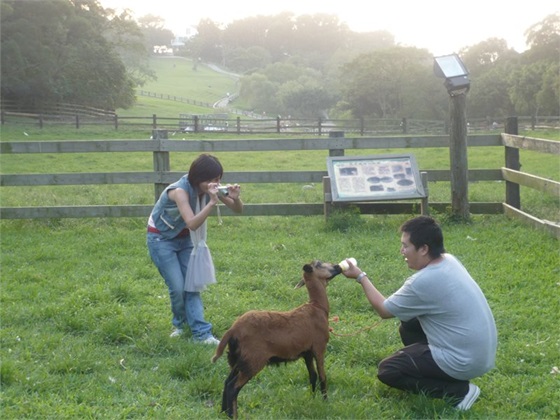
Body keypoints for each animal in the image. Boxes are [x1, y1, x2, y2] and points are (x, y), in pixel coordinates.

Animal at [210, 260, 342, 418]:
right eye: (320, 264)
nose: (339, 267)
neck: (318, 307)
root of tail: (233, 330)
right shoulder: (319, 347)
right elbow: (322, 376)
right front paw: (325, 402)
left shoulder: (306, 353)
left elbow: (312, 375)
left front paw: (312, 398)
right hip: (253, 360)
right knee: (232, 387)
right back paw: (233, 415)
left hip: (237, 359)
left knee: (226, 382)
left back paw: (223, 412)